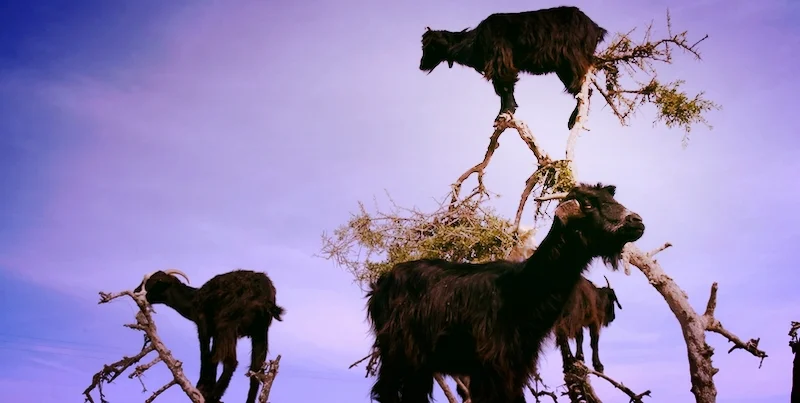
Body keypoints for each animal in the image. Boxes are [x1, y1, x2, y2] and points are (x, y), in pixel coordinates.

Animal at [134, 269, 285, 403]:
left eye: (155, 282)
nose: (136, 292)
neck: (193, 299)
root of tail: (263, 295)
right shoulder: (216, 332)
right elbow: (213, 356)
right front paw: (206, 386)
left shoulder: (204, 324)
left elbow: (205, 353)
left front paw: (203, 388)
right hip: (260, 331)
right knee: (256, 370)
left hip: (227, 324)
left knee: (231, 362)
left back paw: (213, 396)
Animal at [366, 183, 644, 403]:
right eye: (588, 204)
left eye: (611, 198)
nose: (637, 221)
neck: (519, 289)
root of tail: (382, 283)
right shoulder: (492, 366)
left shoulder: (516, 367)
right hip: (398, 353)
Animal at [419, 6, 608, 129]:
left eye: (430, 46)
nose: (421, 66)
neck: (473, 41)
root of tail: (596, 28)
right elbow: (504, 89)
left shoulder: (501, 61)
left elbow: (504, 89)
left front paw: (503, 114)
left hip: (570, 61)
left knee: (583, 90)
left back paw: (573, 120)